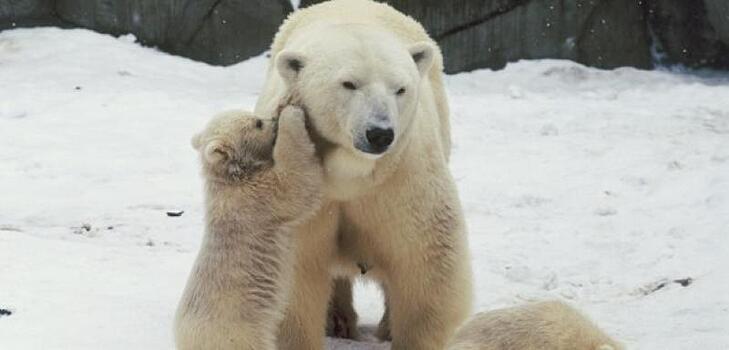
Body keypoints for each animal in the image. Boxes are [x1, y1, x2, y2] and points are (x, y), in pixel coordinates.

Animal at [173, 106, 322, 350]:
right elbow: (294, 184)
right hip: (239, 333)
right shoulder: (254, 199)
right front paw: (291, 115)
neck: (230, 177)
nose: (274, 118)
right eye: (258, 123)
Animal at [256, 0, 472, 350]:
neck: (349, 174)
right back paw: (338, 321)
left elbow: (425, 262)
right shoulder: (299, 184)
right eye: (349, 84)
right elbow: (295, 268)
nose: (380, 133)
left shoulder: (402, 177)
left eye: (400, 89)